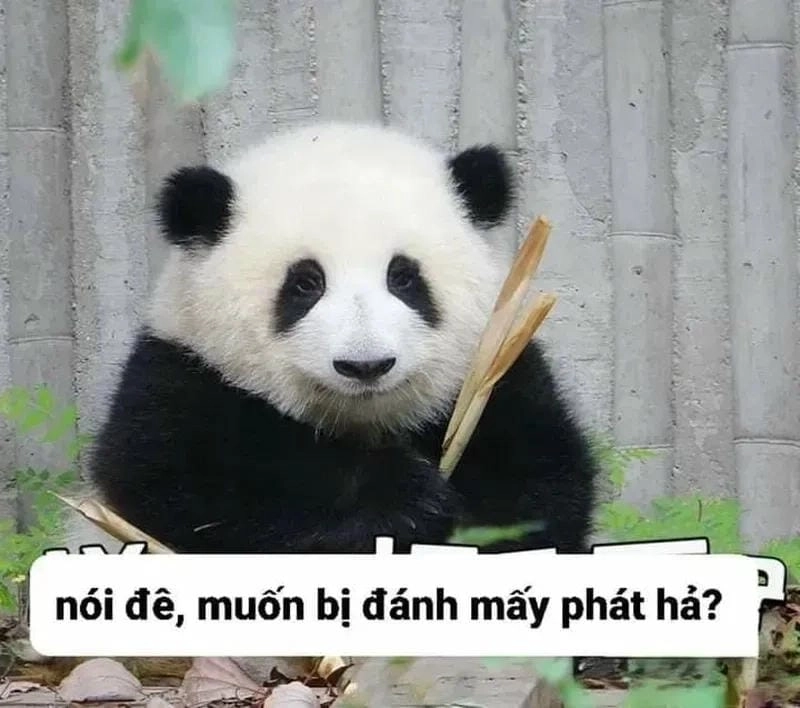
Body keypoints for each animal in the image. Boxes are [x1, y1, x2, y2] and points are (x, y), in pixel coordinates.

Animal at [84, 122, 598, 556]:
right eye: (305, 284)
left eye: (403, 277)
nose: (366, 365)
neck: (360, 423)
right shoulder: (180, 374)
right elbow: (186, 485)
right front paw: (402, 498)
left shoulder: (499, 373)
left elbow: (543, 487)